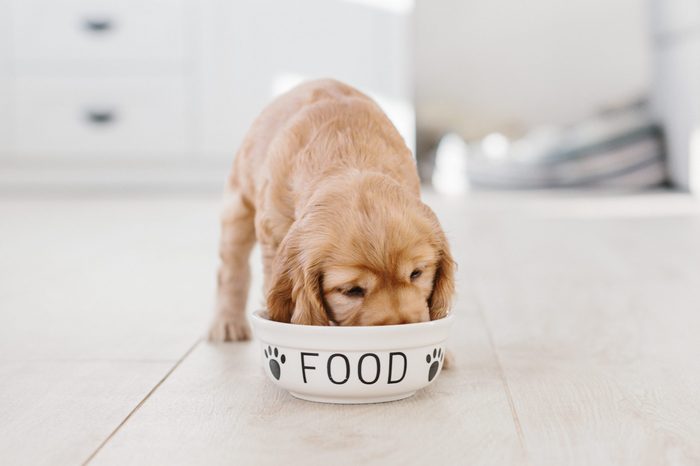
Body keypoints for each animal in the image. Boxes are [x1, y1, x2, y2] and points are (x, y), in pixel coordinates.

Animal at [211, 78, 456, 342]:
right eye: (352, 291)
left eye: (416, 274)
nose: (402, 327)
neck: (349, 156)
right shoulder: (273, 238)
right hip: (238, 206)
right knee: (231, 269)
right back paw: (227, 322)